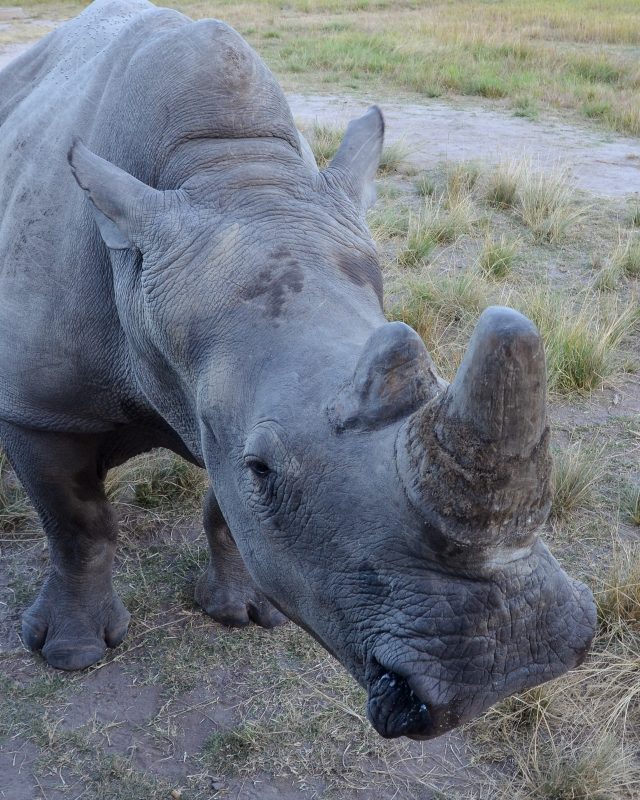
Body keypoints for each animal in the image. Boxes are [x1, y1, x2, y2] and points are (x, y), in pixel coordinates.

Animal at [0, 0, 596, 740]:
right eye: (262, 468)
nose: (510, 662)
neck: (227, 169)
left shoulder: (223, 394)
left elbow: (224, 511)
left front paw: (249, 613)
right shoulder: (38, 407)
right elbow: (78, 525)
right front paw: (70, 654)